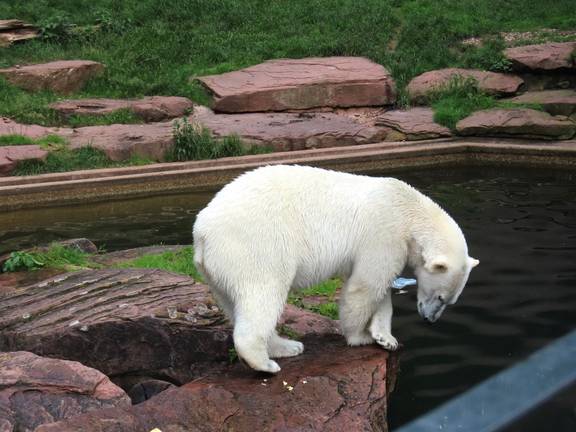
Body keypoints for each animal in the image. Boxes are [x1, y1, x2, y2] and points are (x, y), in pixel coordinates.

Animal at [192, 164, 476, 372]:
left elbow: (380, 289)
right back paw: (267, 363)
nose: (429, 320)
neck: (409, 211)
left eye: (449, 301)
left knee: (234, 302)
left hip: (218, 270)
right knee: (263, 294)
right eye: (441, 297)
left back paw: (286, 347)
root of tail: (201, 232)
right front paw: (360, 337)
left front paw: (386, 338)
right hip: (254, 246)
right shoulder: (384, 233)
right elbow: (365, 286)